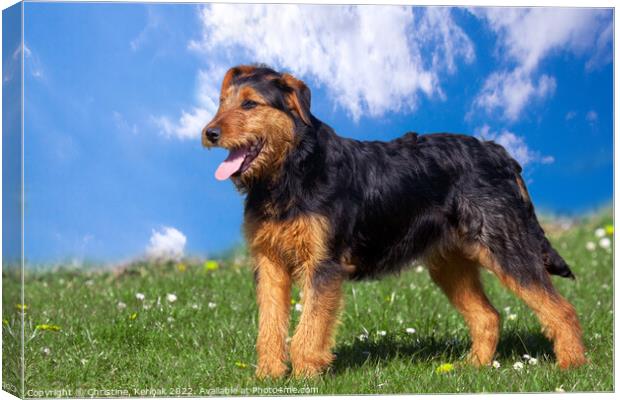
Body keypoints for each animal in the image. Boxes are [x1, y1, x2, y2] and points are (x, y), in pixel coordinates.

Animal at [202, 65, 588, 378]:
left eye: (250, 105)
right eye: (222, 102)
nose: (209, 133)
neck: (289, 172)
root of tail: (498, 152)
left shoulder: (323, 264)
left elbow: (309, 328)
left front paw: (304, 378)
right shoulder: (269, 263)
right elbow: (269, 327)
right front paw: (267, 377)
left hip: (506, 247)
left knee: (563, 309)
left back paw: (572, 366)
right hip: (450, 264)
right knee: (488, 317)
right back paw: (472, 368)